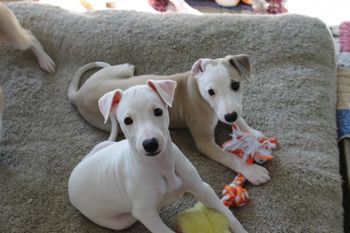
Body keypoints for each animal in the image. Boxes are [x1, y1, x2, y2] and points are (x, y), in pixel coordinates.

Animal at [68, 55, 270, 186]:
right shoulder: (205, 143)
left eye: (235, 85)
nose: (230, 116)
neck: (197, 90)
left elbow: (240, 119)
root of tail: (78, 95)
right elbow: (229, 157)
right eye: (211, 92)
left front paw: (253, 134)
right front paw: (252, 171)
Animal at [68, 80, 247, 233]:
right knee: (130, 216)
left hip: (104, 145)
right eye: (127, 120)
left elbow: (228, 215)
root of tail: (73, 176)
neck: (161, 165)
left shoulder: (203, 188)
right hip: (120, 222)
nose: (150, 144)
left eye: (158, 111)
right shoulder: (146, 214)